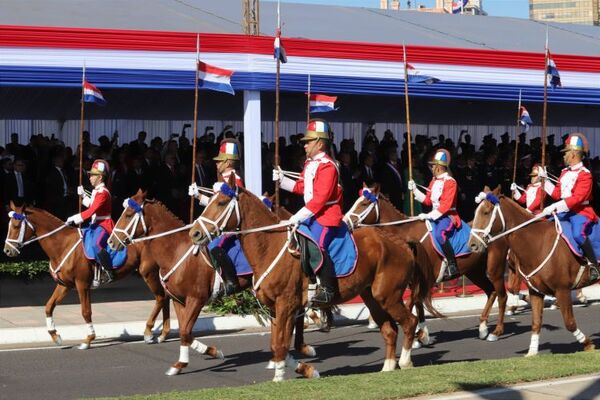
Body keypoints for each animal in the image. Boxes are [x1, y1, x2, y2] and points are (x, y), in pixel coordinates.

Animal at [3, 202, 170, 348]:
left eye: (16, 226)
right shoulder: (64, 285)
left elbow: (86, 311)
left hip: (148, 273)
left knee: (160, 297)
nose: (7, 250)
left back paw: (148, 332)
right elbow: (49, 307)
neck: (63, 245)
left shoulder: (82, 284)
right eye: (9, 225)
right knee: (165, 297)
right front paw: (55, 336)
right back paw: (164, 333)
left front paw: (88, 339)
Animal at [105, 189, 316, 376]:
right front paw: (190, 359)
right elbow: (185, 332)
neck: (175, 251)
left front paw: (196, 357)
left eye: (128, 214)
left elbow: (186, 331)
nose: (111, 242)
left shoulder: (196, 299)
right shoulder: (179, 300)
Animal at [188, 175, 440, 382]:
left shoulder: (286, 305)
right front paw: (300, 368)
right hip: (372, 298)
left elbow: (280, 344)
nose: (194, 233)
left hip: (388, 296)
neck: (269, 246)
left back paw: (405, 361)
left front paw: (281, 377)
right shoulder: (275, 309)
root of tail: (400, 242)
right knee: (390, 330)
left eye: (221, 203)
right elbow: (277, 345)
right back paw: (388, 367)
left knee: (409, 322)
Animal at [344, 186, 508, 342]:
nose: (345, 221)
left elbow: (412, 304)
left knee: (502, 296)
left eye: (364, 203)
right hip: (475, 272)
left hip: (494, 271)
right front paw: (422, 335)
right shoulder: (415, 281)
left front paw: (417, 336)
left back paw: (496, 331)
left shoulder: (423, 280)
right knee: (491, 292)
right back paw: (483, 327)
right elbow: (418, 305)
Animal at [472, 189, 596, 354]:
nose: (472, 245)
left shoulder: (562, 289)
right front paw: (531, 352)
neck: (537, 243)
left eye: (486, 212)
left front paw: (587, 344)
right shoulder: (534, 290)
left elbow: (569, 322)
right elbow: (536, 322)